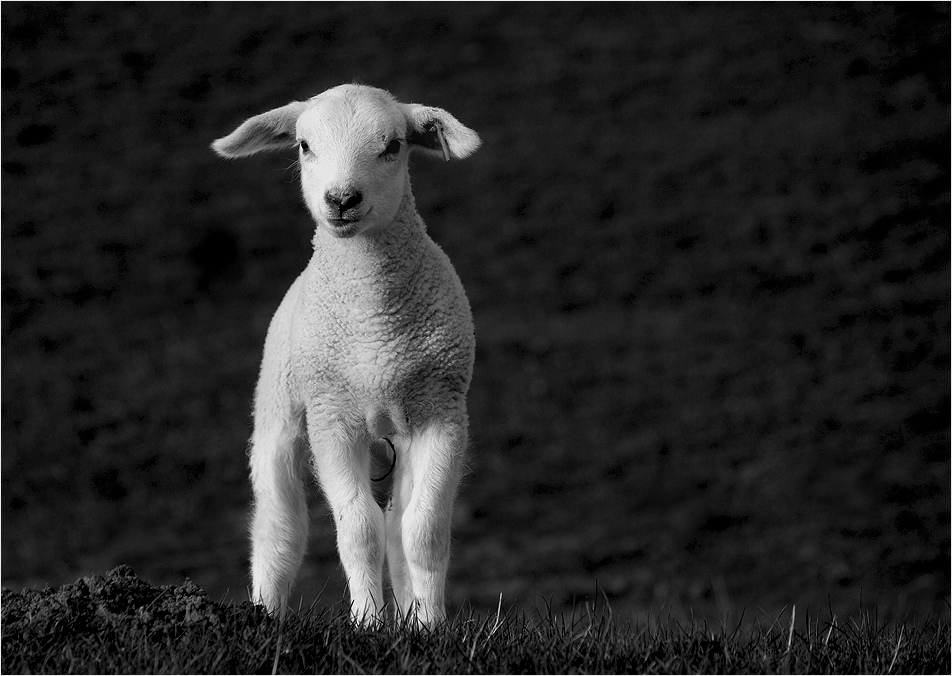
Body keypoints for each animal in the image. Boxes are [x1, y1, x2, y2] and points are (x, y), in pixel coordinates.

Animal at [212, 86, 480, 628]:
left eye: (394, 145)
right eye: (303, 146)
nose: (341, 200)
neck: (375, 333)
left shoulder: (441, 412)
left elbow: (421, 532)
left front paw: (428, 626)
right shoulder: (332, 418)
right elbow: (358, 531)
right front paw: (368, 624)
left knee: (397, 523)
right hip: (278, 409)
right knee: (279, 529)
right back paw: (264, 615)